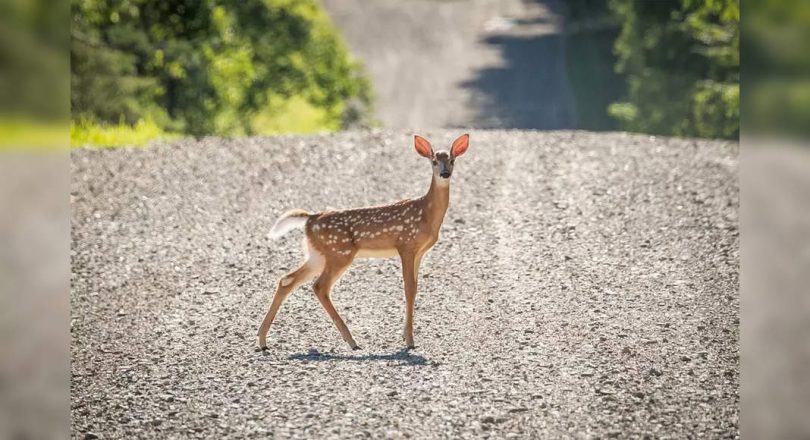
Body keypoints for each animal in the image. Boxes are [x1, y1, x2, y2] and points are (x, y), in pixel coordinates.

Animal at [257, 134, 470, 352]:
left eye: (452, 160)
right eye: (433, 161)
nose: (445, 173)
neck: (426, 213)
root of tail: (310, 219)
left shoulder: (419, 252)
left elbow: (415, 287)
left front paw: (406, 336)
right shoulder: (406, 245)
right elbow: (409, 289)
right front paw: (410, 341)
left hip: (318, 255)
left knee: (287, 279)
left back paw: (263, 340)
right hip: (339, 253)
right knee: (319, 286)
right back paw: (352, 341)